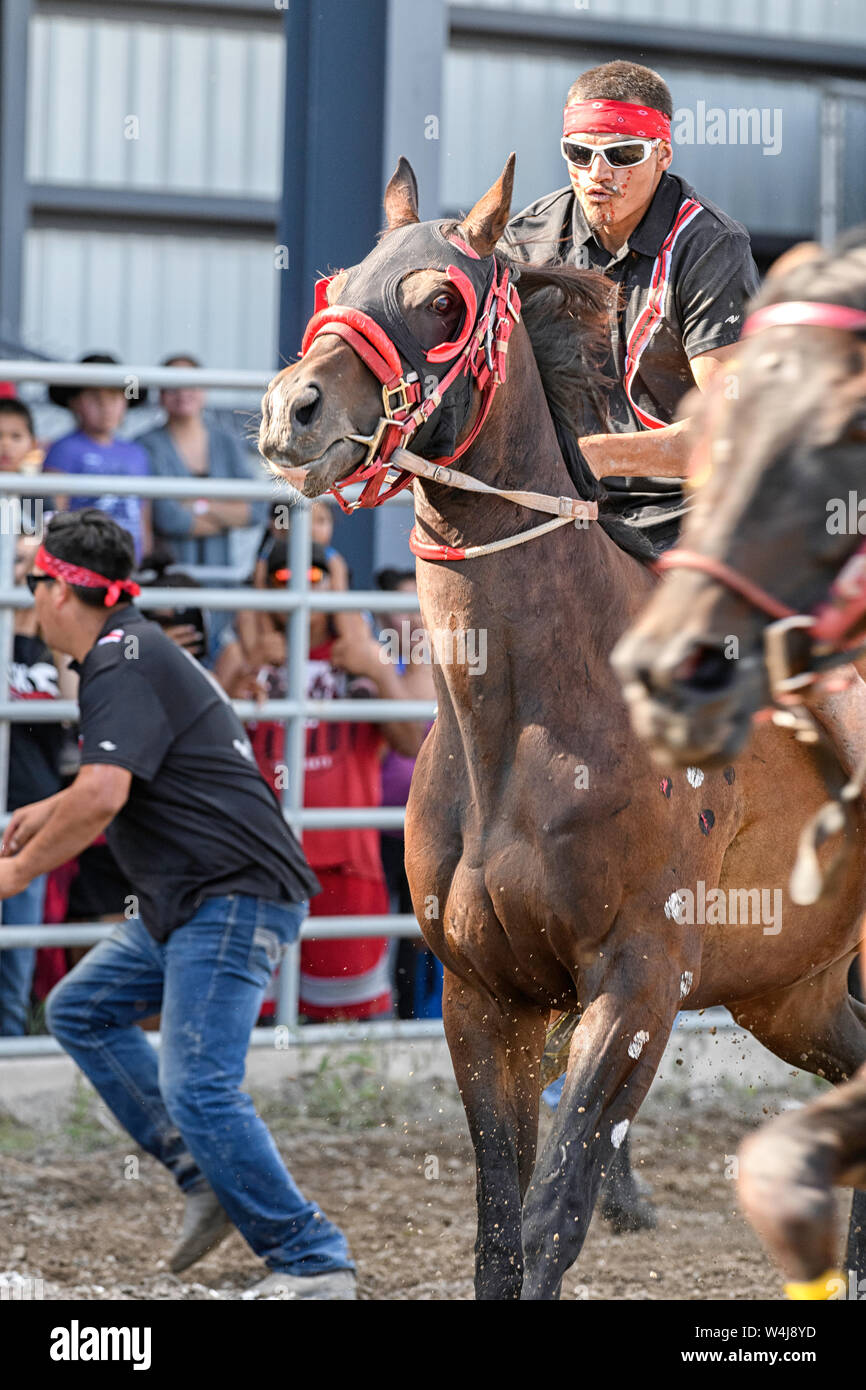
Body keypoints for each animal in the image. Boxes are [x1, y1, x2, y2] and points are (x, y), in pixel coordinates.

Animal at [261, 165, 866, 1301]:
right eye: (338, 280)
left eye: (442, 300)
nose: (291, 408)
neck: (527, 727)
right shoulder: (482, 999)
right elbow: (499, 1226)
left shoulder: (635, 986)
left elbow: (552, 1218)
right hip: (789, 990)